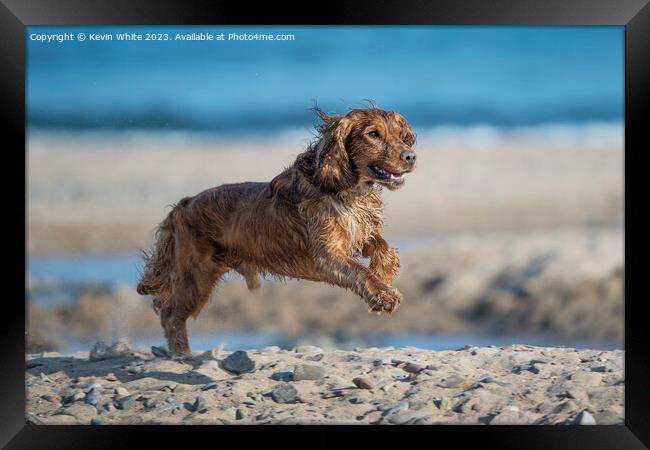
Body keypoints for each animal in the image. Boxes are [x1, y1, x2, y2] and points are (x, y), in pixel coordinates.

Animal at [136, 105, 416, 356]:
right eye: (373, 134)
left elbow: (385, 249)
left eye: (400, 134)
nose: (411, 157)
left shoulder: (357, 234)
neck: (345, 189)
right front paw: (383, 295)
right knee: (169, 314)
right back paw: (182, 355)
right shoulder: (327, 254)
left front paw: (383, 275)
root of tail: (182, 205)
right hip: (196, 276)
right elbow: (359, 271)